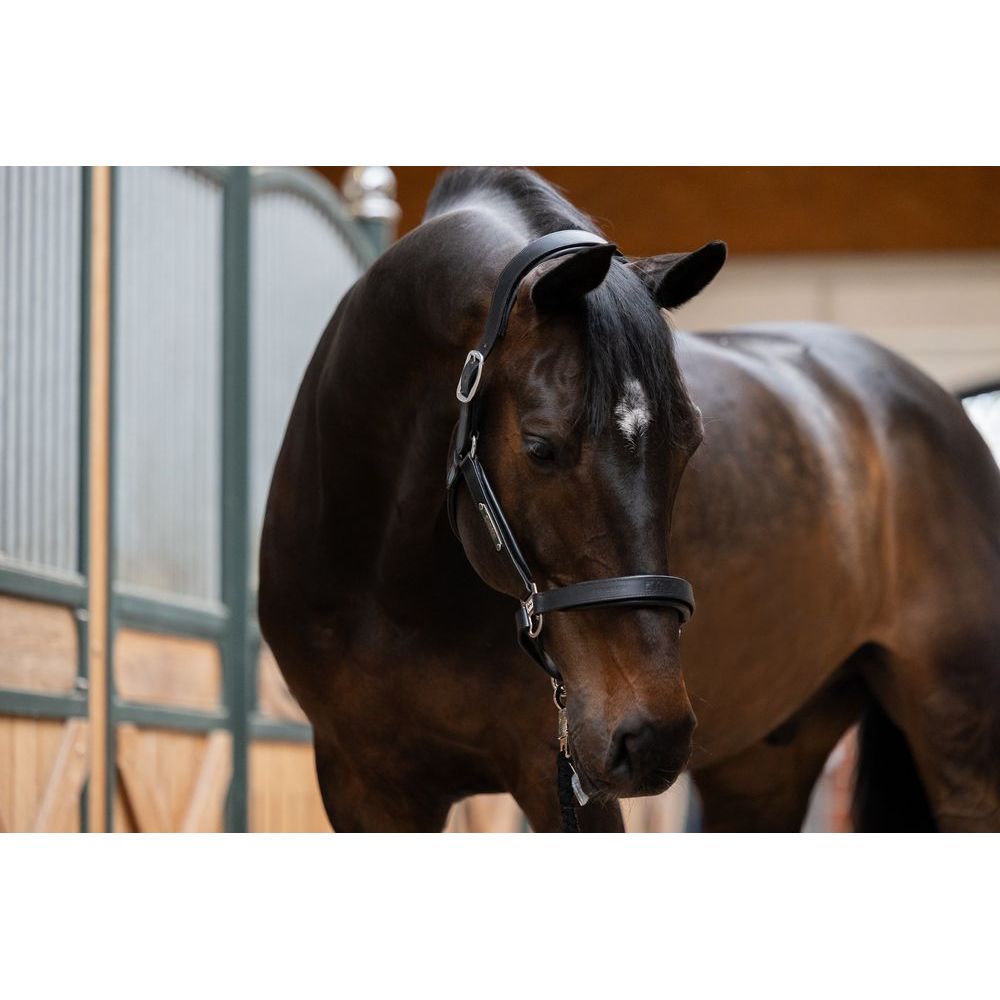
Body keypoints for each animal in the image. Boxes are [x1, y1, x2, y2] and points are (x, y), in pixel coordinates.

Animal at [259, 167, 1000, 832]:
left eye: (690, 442)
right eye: (540, 447)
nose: (652, 736)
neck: (385, 583)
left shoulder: (560, 780)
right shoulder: (363, 785)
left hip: (961, 749)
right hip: (764, 767)